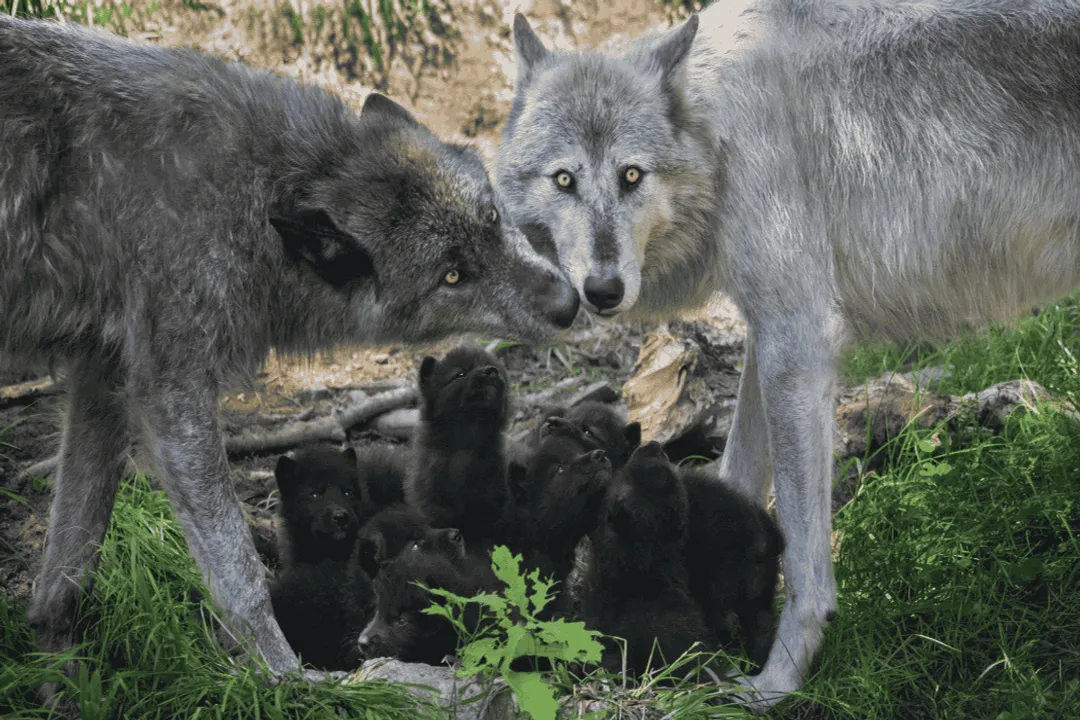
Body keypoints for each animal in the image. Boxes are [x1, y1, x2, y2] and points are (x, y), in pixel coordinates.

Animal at [0, 14, 578, 688]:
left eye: (491, 218)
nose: (569, 302)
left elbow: (72, 559)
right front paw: (286, 678)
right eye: (452, 276)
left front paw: (61, 670)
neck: (257, 194)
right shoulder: (170, 390)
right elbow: (242, 572)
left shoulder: (103, 375)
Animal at [497, 0, 1080, 710]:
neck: (720, 133)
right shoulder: (769, 334)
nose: (603, 290)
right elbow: (735, 473)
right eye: (564, 180)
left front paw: (777, 681)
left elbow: (805, 562)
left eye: (631, 176)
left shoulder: (797, 340)